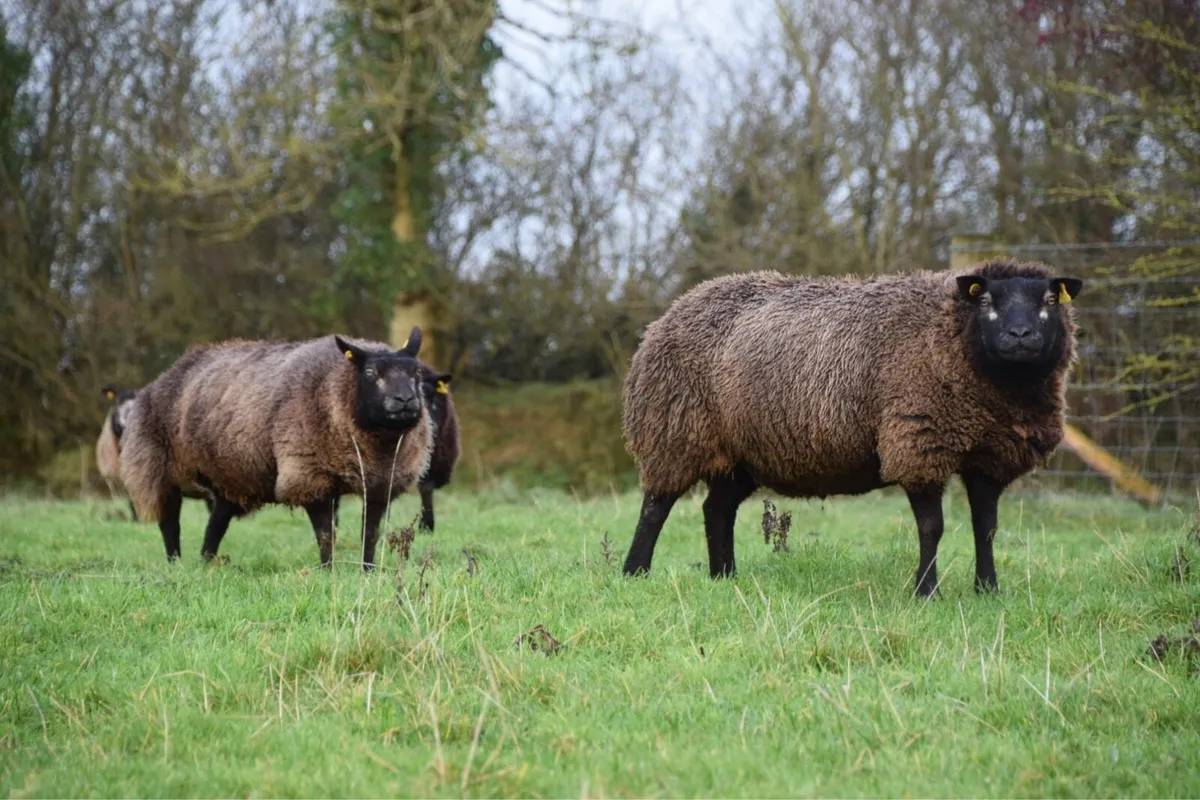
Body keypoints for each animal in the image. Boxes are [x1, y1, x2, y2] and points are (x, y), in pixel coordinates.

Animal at [120, 327, 434, 570]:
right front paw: (328, 571)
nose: (405, 400)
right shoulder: (309, 476)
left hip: (231, 475)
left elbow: (370, 534)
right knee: (169, 523)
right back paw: (175, 563)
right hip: (157, 468)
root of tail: (163, 377)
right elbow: (325, 535)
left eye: (416, 373)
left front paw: (367, 571)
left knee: (216, 523)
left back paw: (207, 563)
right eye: (370, 372)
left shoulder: (379, 485)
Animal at [621, 259, 1083, 597]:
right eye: (987, 301)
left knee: (716, 509)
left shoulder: (990, 455)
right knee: (656, 506)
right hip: (675, 431)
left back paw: (724, 577)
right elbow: (932, 527)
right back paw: (635, 572)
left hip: (744, 454)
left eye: (1048, 299)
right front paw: (926, 592)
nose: (1020, 334)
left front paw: (988, 590)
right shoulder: (916, 441)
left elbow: (985, 528)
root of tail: (670, 313)